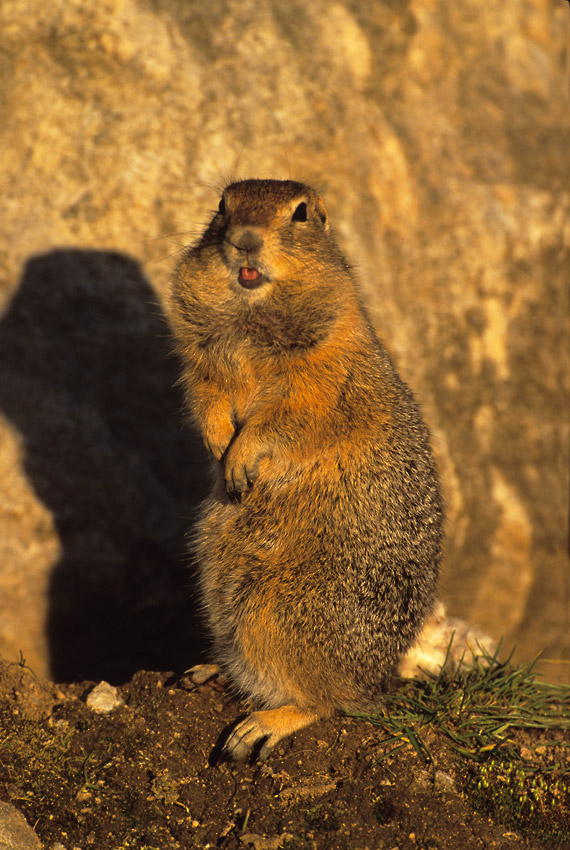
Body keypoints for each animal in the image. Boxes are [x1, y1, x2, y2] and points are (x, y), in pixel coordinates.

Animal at [166, 181, 442, 760]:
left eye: (301, 213)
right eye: (222, 206)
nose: (246, 240)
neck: (251, 319)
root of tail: (376, 681)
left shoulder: (319, 379)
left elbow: (282, 420)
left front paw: (239, 460)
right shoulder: (202, 366)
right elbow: (207, 399)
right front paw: (219, 445)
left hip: (273, 610)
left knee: (326, 701)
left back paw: (257, 728)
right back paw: (206, 671)